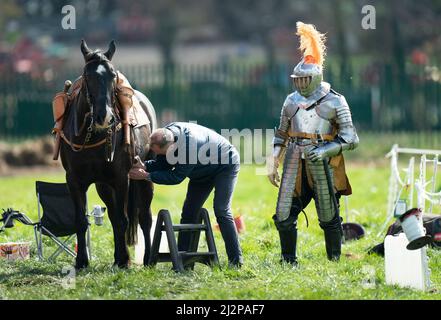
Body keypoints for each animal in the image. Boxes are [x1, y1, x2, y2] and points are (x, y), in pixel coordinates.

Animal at [59, 40, 156, 270]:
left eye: (113, 75)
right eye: (87, 75)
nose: (105, 116)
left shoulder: (121, 179)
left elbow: (123, 219)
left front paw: (124, 260)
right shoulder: (74, 181)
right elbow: (81, 220)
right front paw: (81, 261)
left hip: (143, 178)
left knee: (145, 217)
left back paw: (147, 258)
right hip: (103, 185)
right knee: (113, 214)